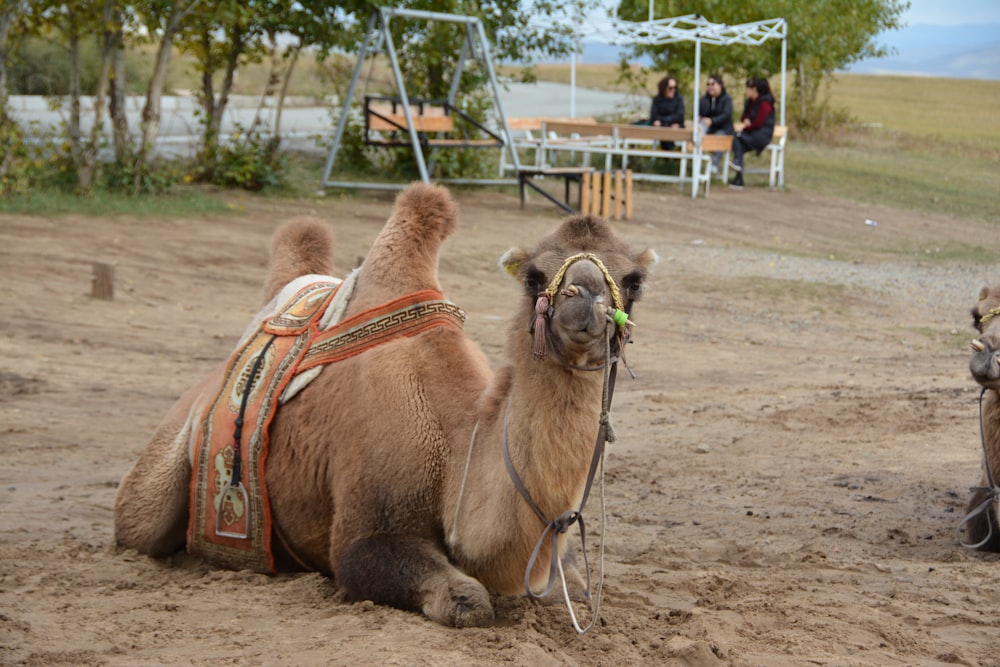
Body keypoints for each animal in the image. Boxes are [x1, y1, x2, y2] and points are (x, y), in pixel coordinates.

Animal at [115, 183, 656, 628]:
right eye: (533, 276)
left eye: (633, 281)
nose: (584, 301)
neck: (455, 450)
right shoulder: (367, 531)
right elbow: (465, 600)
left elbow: (577, 587)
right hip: (163, 472)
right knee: (140, 525)